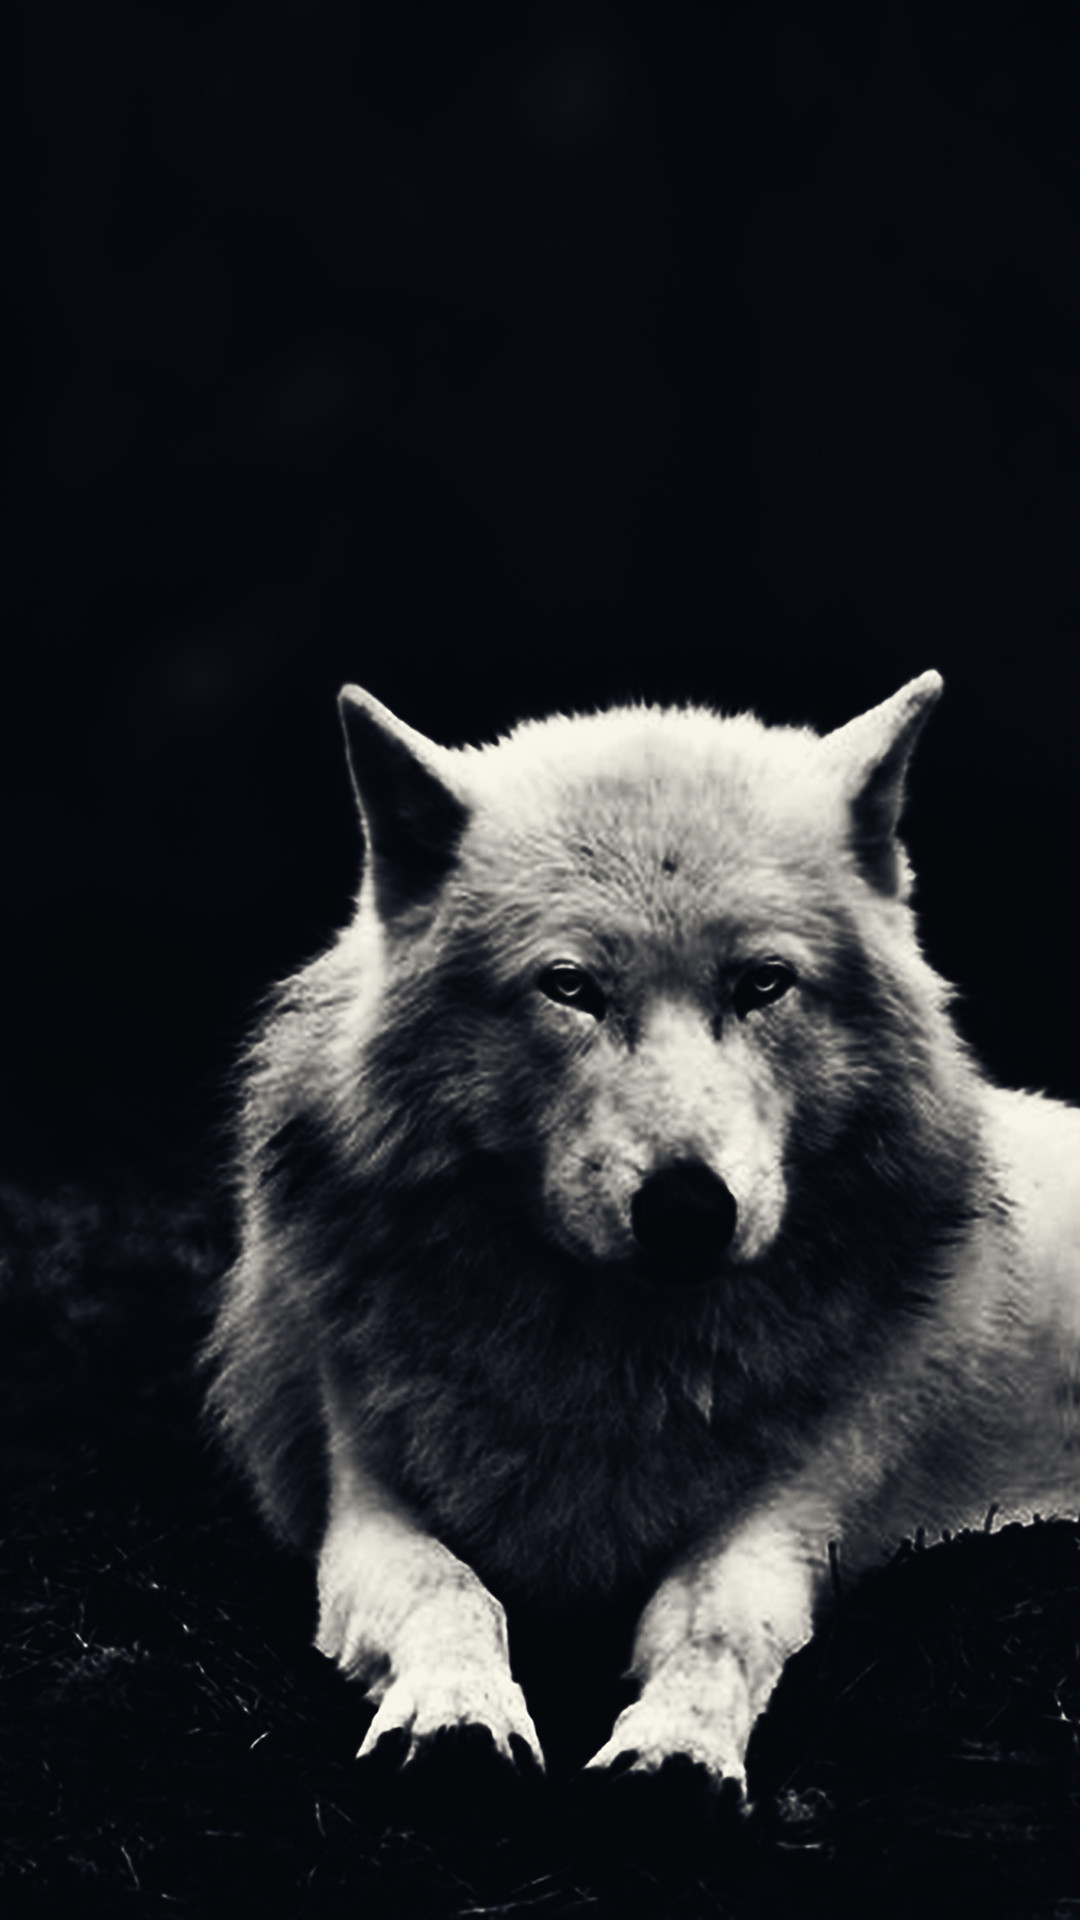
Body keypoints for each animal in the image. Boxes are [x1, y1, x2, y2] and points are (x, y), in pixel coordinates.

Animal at [206, 671, 1080, 1792]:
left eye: (763, 983)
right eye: (571, 986)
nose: (688, 1210)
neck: (615, 1366)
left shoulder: (795, 1511)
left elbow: (718, 1623)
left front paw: (676, 1747)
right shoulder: (362, 1501)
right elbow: (452, 1591)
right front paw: (457, 1715)